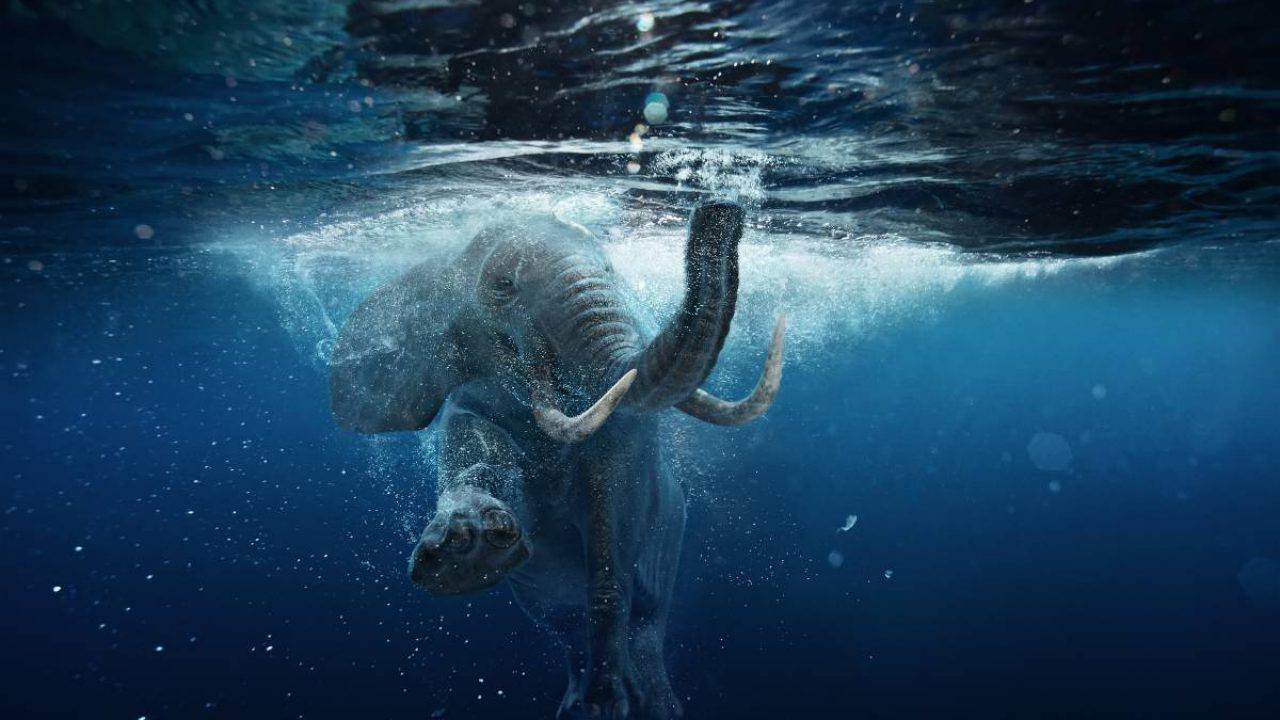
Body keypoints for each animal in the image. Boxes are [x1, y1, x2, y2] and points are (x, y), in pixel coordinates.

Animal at [328, 201, 784, 719]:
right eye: (503, 286)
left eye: (609, 269)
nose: (720, 213)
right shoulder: (470, 403)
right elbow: (473, 458)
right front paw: (464, 551)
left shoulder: (625, 449)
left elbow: (611, 550)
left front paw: (608, 704)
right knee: (563, 623)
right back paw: (575, 704)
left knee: (646, 622)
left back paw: (648, 705)